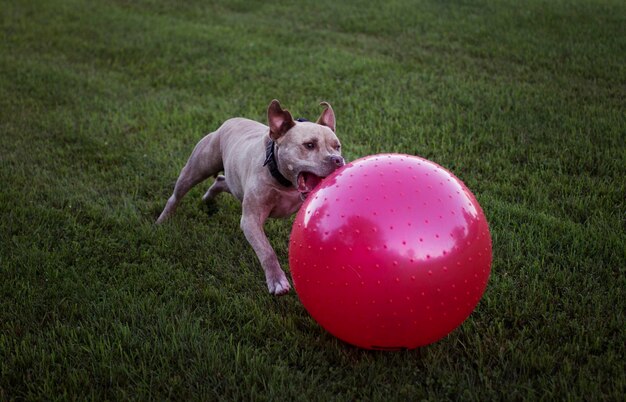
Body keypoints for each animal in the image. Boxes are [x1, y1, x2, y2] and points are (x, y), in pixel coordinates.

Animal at [154, 100, 344, 296]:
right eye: (309, 145)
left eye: (337, 146)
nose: (337, 160)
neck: (285, 183)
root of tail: (230, 121)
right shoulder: (251, 220)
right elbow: (267, 251)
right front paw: (277, 281)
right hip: (197, 169)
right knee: (176, 195)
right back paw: (162, 220)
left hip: (232, 180)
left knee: (221, 180)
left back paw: (208, 199)